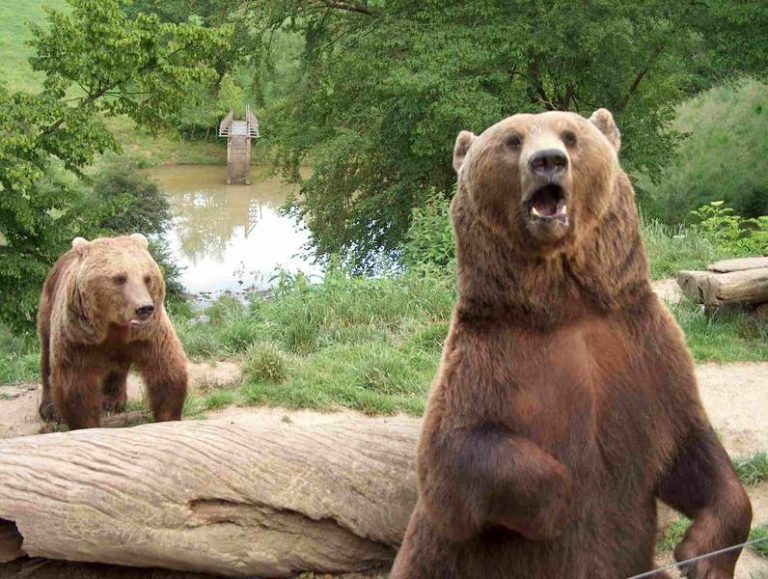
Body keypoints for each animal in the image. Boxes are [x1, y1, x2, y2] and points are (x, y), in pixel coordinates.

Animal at [38, 232, 188, 430]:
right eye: (119, 278)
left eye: (147, 278)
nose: (144, 308)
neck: (114, 327)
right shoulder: (78, 338)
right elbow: (76, 387)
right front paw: (86, 423)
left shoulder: (150, 334)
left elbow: (166, 371)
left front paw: (168, 417)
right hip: (48, 308)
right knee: (47, 357)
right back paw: (49, 410)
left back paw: (113, 400)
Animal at [392, 110, 752, 579]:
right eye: (512, 140)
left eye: (570, 135)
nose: (547, 161)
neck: (567, 306)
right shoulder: (487, 360)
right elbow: (451, 458)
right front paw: (563, 501)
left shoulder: (646, 354)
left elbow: (691, 446)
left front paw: (702, 556)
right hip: (432, 563)